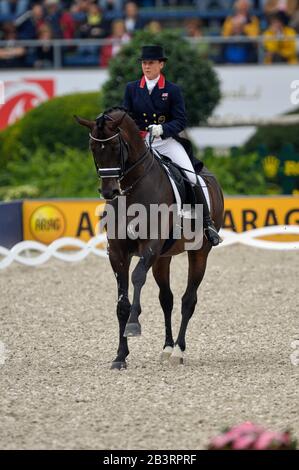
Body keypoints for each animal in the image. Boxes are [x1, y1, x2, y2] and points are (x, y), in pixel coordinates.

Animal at [76, 108, 224, 370]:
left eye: (116, 146)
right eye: (93, 148)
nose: (109, 192)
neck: (132, 191)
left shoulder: (150, 246)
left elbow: (136, 278)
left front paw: (134, 326)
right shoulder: (118, 253)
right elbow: (122, 303)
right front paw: (120, 356)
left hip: (199, 252)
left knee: (188, 300)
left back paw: (178, 351)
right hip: (163, 259)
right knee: (167, 299)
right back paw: (167, 348)